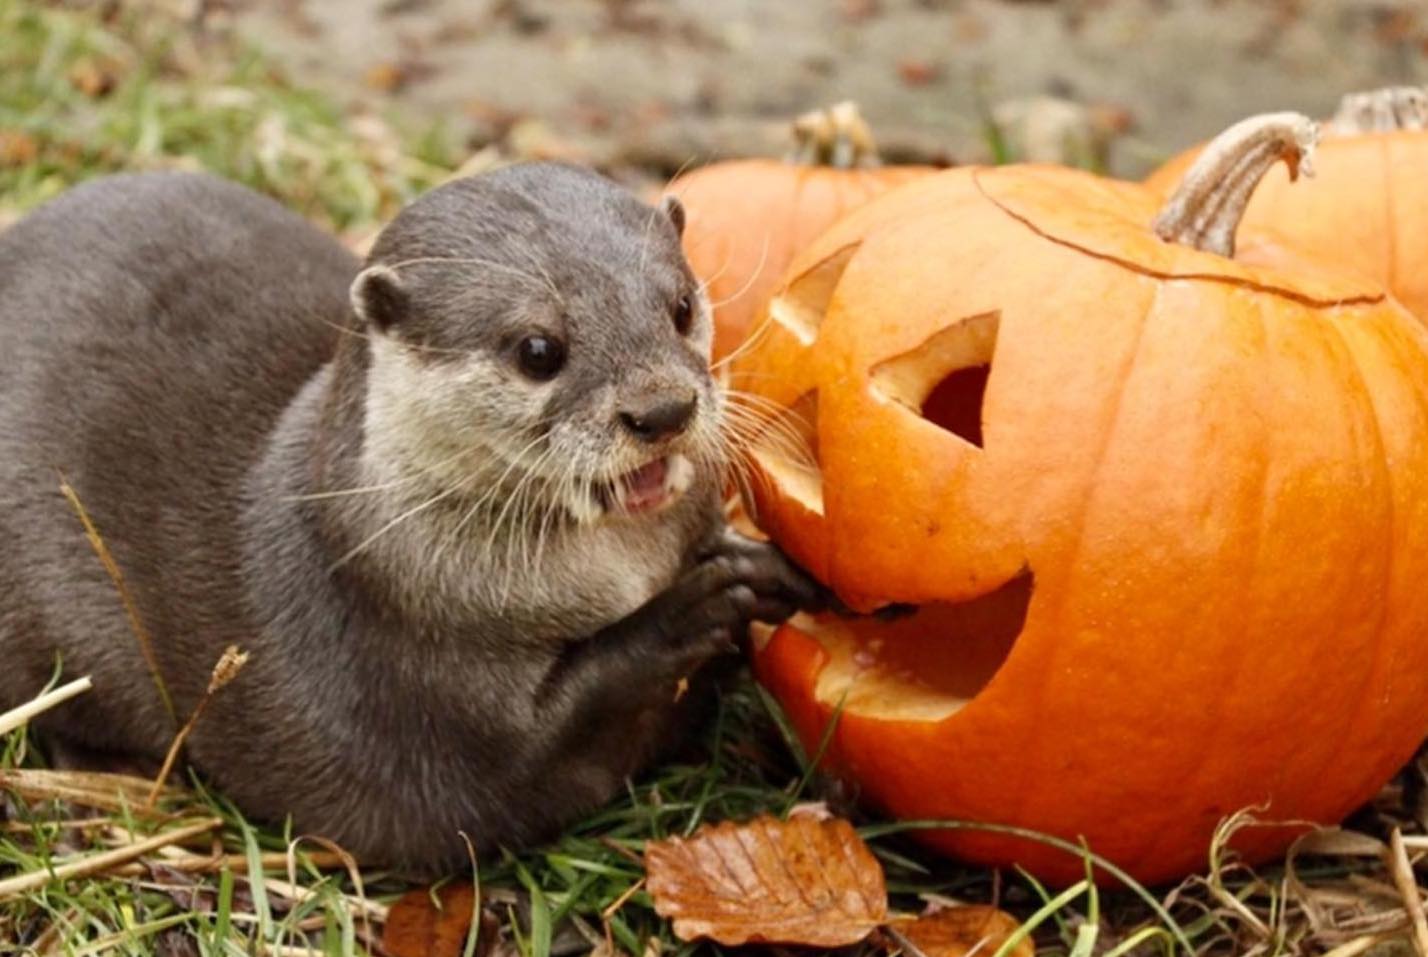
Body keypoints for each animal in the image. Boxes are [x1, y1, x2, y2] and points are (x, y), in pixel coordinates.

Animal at [0, 165, 820, 872]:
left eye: (681, 306)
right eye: (538, 349)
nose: (662, 409)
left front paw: (768, 571)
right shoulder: (415, 676)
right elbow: (529, 753)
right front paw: (695, 606)